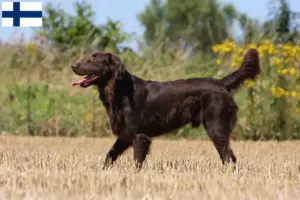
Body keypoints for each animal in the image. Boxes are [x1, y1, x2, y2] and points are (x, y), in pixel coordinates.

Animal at [71, 48, 260, 169]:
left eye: (93, 60)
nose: (73, 65)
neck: (120, 89)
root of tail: (221, 83)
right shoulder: (125, 135)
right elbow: (110, 154)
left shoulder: (139, 136)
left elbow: (137, 162)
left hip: (216, 127)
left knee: (228, 156)